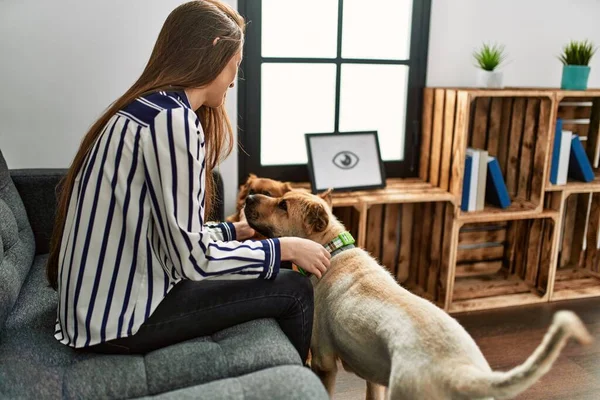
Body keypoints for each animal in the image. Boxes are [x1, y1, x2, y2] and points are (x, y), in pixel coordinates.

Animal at [245, 190, 596, 400]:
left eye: (282, 205)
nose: (247, 196)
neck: (332, 249)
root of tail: (461, 373)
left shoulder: (324, 362)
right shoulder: (374, 375)